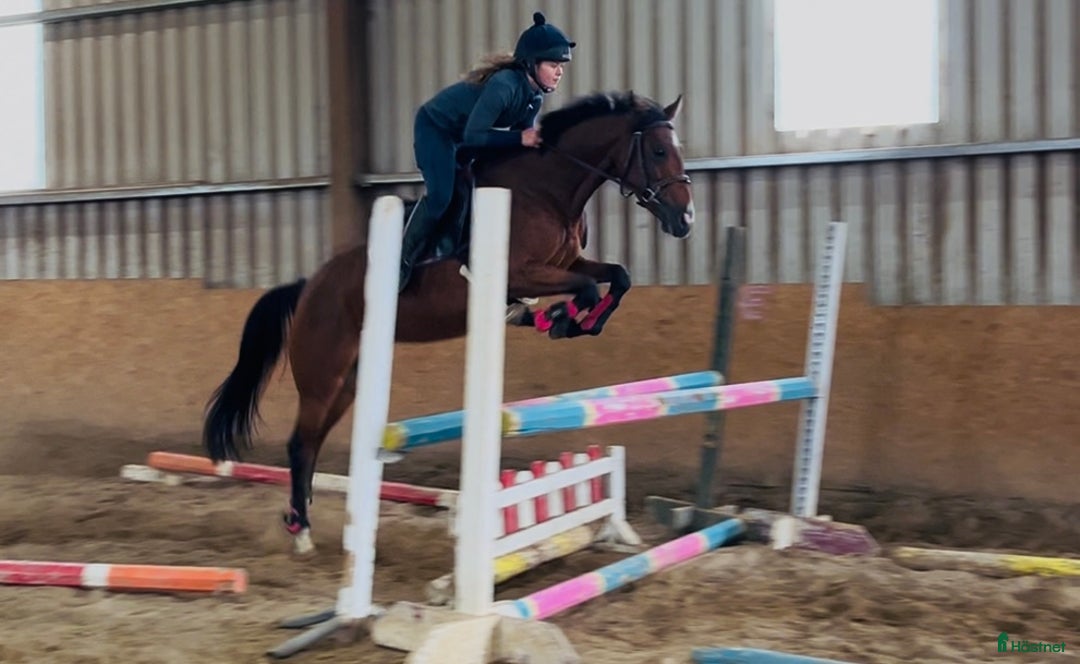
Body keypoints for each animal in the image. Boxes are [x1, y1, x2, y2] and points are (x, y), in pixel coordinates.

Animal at [201, 90, 696, 555]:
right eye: (657, 151)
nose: (685, 220)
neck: (546, 192)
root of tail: (307, 287)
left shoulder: (569, 263)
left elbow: (618, 276)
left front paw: (571, 321)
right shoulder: (517, 272)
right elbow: (590, 287)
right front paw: (560, 319)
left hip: (348, 381)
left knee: (313, 442)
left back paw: (298, 520)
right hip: (323, 376)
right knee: (300, 444)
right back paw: (301, 532)